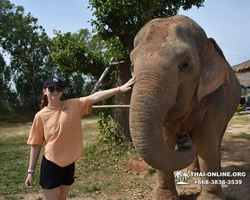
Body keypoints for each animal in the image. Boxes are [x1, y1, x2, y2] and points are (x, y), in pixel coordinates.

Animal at [129, 14, 240, 200]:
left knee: (217, 139)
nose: (182, 138)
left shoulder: (216, 95)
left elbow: (205, 141)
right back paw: (194, 173)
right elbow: (165, 139)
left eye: (185, 64)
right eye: (131, 66)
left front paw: (209, 198)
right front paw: (164, 197)